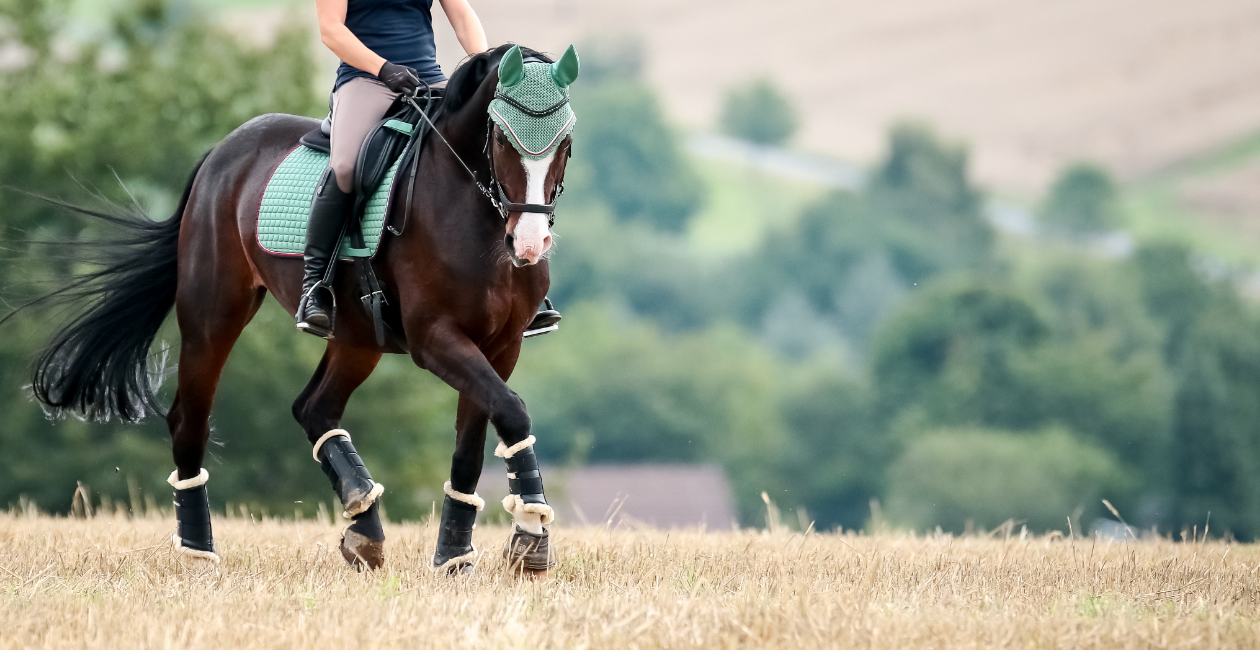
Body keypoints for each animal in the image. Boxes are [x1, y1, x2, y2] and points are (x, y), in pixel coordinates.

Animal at [23, 44, 577, 574]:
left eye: (565, 144)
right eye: (502, 138)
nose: (529, 244)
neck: (478, 214)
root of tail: (222, 150)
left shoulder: (499, 345)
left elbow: (478, 438)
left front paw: (463, 555)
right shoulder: (435, 338)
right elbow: (511, 410)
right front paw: (530, 531)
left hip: (357, 336)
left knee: (314, 408)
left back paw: (363, 525)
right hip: (213, 314)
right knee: (189, 420)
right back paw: (199, 551)